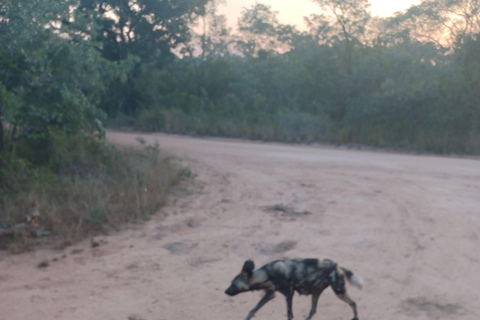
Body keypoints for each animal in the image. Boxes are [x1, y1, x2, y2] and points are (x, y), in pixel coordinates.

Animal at [225, 258, 364, 318]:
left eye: (233, 284)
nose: (225, 291)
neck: (266, 274)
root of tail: (337, 265)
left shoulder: (289, 294)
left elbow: (289, 315)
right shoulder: (270, 294)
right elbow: (252, 310)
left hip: (339, 291)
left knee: (353, 303)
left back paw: (355, 317)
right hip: (316, 293)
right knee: (313, 310)